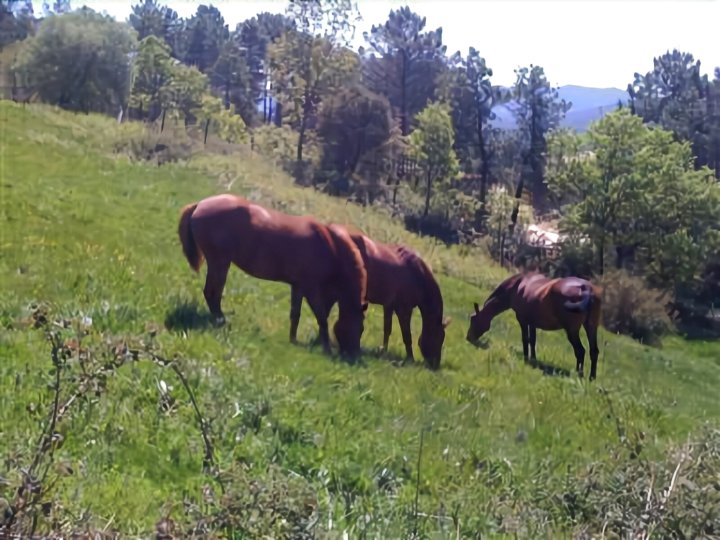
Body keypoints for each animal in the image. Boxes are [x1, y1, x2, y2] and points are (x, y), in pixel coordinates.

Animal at [177, 195, 368, 358]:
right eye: (359, 328)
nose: (354, 356)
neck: (329, 247)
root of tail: (200, 204)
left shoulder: (298, 287)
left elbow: (295, 314)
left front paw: (293, 340)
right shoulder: (311, 289)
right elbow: (321, 317)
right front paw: (326, 349)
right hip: (219, 263)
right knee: (212, 293)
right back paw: (220, 321)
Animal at [288, 226, 450, 370]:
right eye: (439, 337)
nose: (435, 365)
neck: (417, 274)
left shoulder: (389, 305)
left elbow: (387, 329)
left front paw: (383, 350)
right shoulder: (404, 309)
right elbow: (407, 335)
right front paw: (410, 358)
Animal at [466, 270, 600, 380]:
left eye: (473, 319)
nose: (468, 337)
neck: (516, 286)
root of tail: (587, 289)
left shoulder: (522, 320)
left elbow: (526, 339)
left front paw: (526, 359)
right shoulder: (532, 323)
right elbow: (533, 340)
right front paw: (533, 359)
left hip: (572, 330)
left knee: (580, 351)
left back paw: (579, 374)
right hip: (591, 327)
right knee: (594, 352)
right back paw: (591, 377)